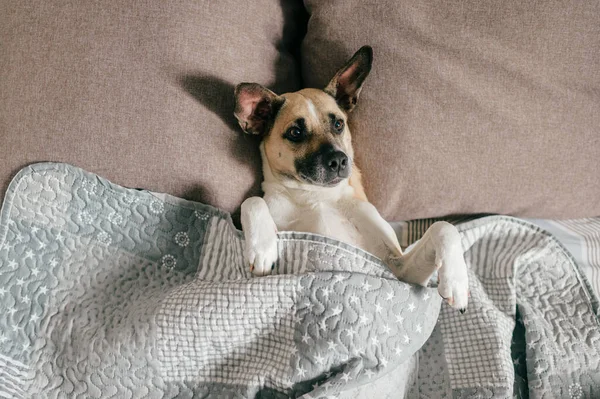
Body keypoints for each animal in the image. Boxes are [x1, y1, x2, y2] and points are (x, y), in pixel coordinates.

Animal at [233, 44, 468, 312]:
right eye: (295, 132)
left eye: (338, 124)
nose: (338, 160)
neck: (317, 196)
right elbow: (252, 201)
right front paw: (262, 246)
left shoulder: (399, 270)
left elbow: (444, 226)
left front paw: (456, 281)